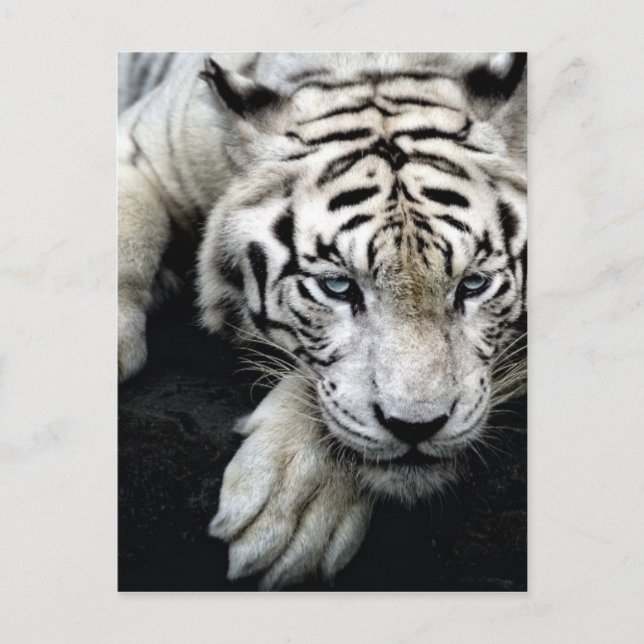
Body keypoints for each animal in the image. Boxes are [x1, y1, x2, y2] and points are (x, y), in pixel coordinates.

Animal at [118, 52, 527, 590]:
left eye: (473, 284)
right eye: (337, 286)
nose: (417, 427)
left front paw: (289, 509)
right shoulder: (145, 147)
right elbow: (126, 227)